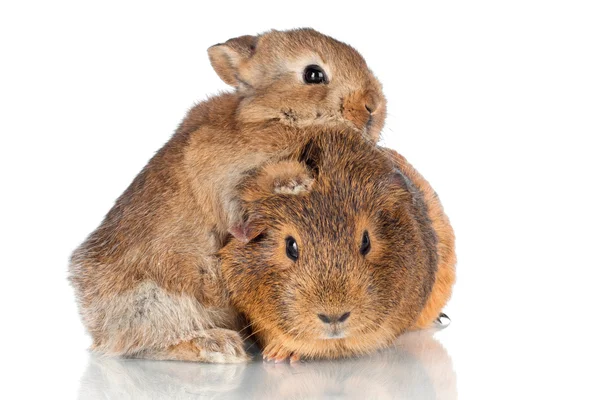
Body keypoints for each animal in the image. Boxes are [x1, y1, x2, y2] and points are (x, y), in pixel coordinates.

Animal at [68, 28, 386, 364]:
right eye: (313, 74)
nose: (373, 105)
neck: (272, 116)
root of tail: (95, 323)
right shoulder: (214, 164)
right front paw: (295, 182)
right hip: (157, 299)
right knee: (148, 342)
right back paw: (219, 346)